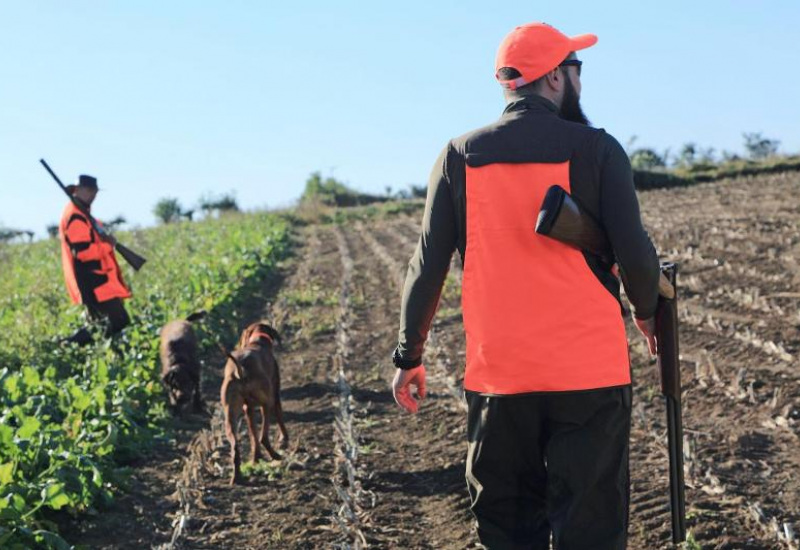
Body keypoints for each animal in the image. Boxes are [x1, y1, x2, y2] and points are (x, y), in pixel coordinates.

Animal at [220, 322, 290, 486]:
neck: (257, 342)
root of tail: (240, 370)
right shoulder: (275, 396)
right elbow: (280, 418)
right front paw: (284, 439)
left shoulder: (248, 409)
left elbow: (253, 435)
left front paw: (256, 459)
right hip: (266, 403)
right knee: (263, 437)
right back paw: (276, 455)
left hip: (230, 418)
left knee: (236, 447)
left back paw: (237, 477)